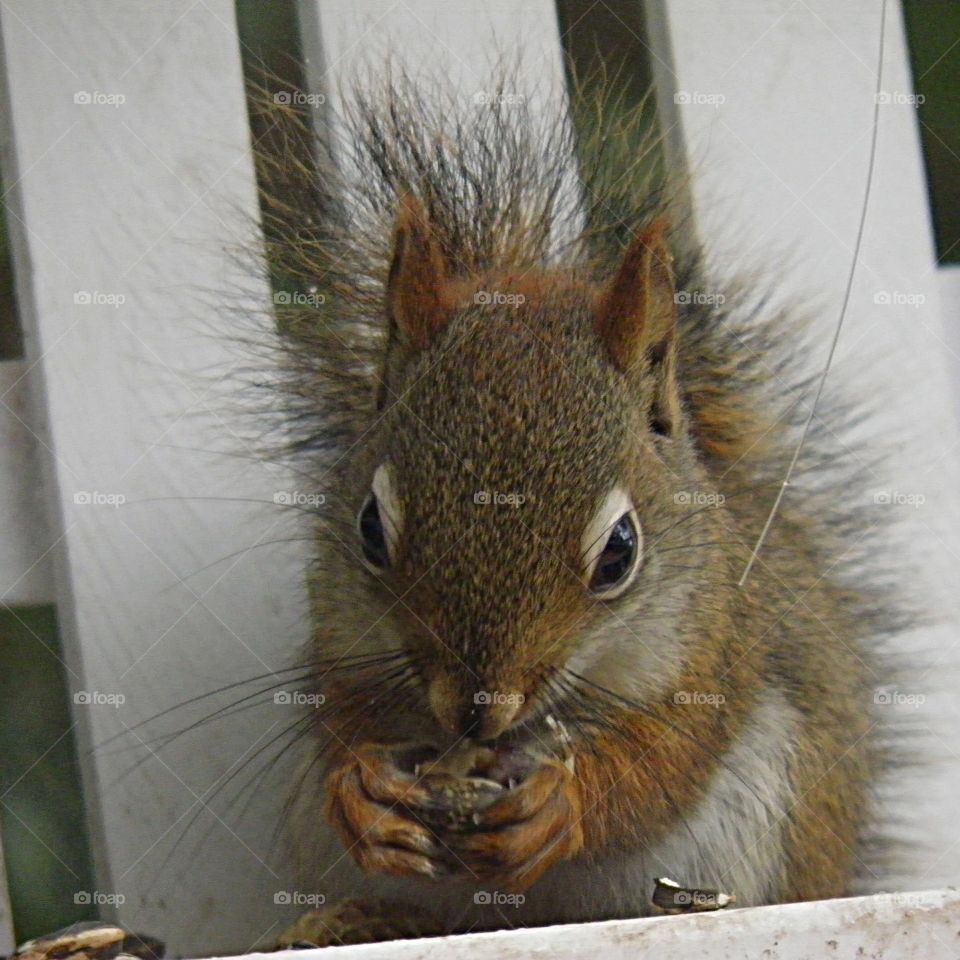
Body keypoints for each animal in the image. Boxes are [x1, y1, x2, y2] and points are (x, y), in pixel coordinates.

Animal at [242, 69, 905, 947]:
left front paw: (561, 807)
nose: (474, 713)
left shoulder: (717, 651)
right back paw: (361, 914)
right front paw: (363, 796)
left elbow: (664, 763)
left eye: (620, 551)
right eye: (369, 531)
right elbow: (338, 724)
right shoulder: (344, 643)